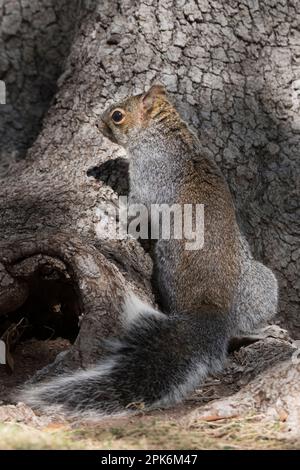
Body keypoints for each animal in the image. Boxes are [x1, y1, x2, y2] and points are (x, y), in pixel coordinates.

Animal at [19, 86, 278, 416]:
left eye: (117, 115)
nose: (97, 123)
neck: (167, 135)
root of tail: (211, 308)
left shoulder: (149, 177)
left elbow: (138, 208)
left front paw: (113, 207)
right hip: (263, 283)